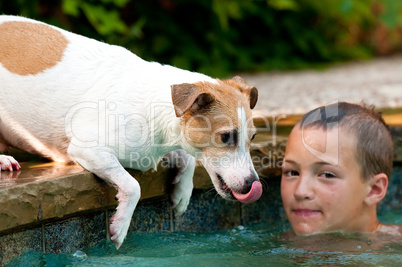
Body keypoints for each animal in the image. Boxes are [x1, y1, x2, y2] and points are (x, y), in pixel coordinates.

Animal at [0, 15, 262, 249]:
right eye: (226, 137)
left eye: (253, 137)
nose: (253, 183)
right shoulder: (88, 149)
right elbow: (133, 185)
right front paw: (121, 224)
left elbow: (186, 158)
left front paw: (182, 193)